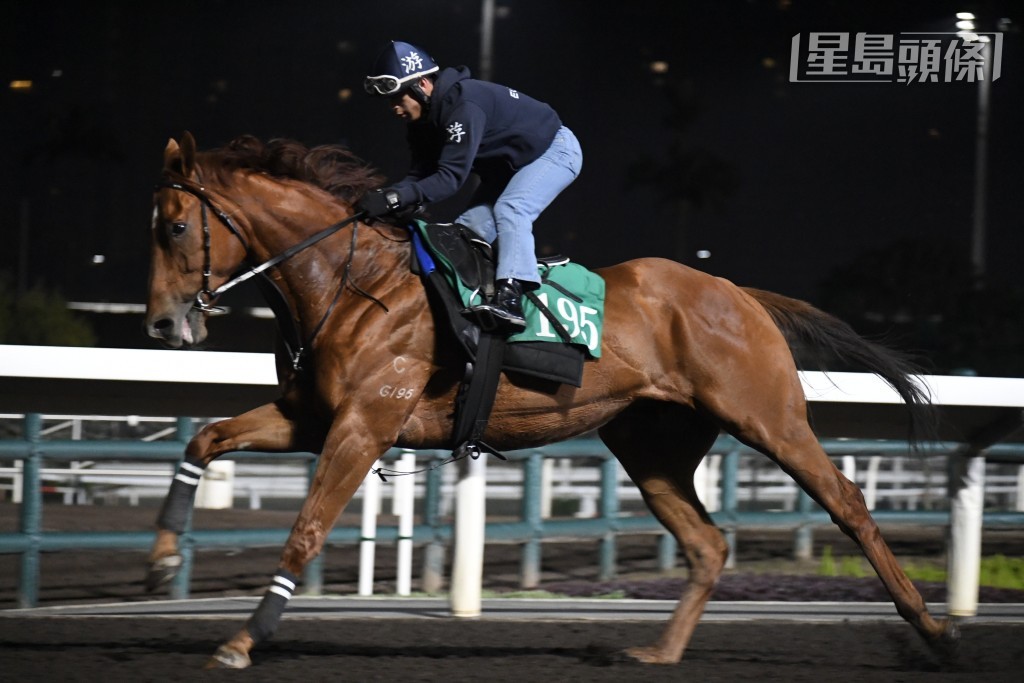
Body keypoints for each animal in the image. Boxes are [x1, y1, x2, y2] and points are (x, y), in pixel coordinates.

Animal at [145, 132, 959, 669]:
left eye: (177, 226)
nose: (160, 323)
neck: (353, 283)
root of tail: (739, 293)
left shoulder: (364, 424)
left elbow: (306, 530)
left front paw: (243, 639)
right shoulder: (311, 417)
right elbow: (203, 440)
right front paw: (160, 559)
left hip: (768, 417)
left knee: (847, 503)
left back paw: (936, 631)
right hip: (651, 446)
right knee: (707, 543)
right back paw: (659, 652)